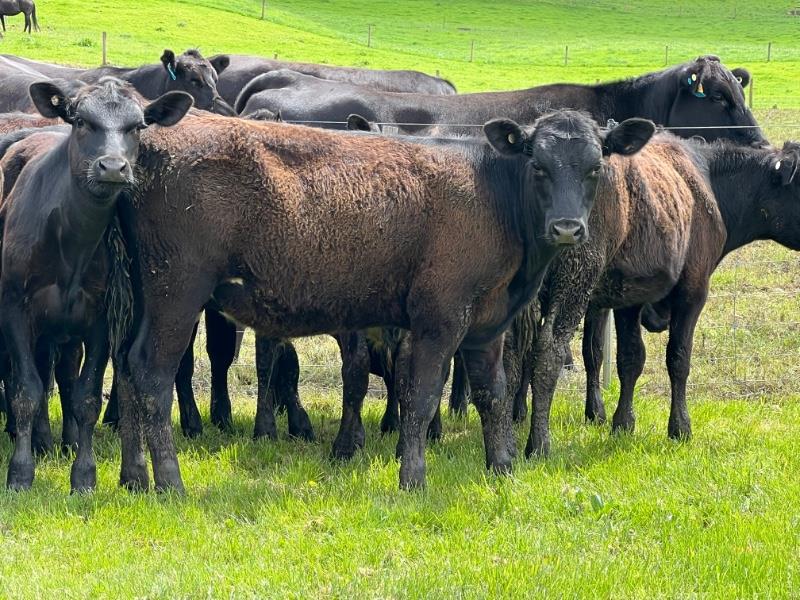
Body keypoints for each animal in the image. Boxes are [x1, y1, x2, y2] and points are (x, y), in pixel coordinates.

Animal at [0, 78, 192, 492]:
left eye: (137, 126)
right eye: (82, 121)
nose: (113, 167)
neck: (69, 242)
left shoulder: (101, 321)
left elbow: (86, 398)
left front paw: (83, 476)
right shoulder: (15, 310)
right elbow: (25, 390)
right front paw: (20, 472)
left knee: (63, 375)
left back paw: (62, 441)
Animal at [106, 110, 654, 492]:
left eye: (596, 167)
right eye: (538, 165)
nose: (568, 228)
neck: (490, 195)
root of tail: (152, 142)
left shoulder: (487, 325)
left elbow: (492, 393)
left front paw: (502, 467)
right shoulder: (438, 318)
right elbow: (422, 395)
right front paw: (413, 478)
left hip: (144, 297)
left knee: (127, 368)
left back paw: (134, 478)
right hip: (177, 292)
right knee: (152, 373)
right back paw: (170, 482)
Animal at [524, 136, 800, 457]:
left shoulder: (629, 295)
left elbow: (629, 358)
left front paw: (622, 424)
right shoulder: (693, 290)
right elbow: (678, 358)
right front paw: (680, 428)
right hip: (573, 280)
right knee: (547, 352)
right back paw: (537, 445)